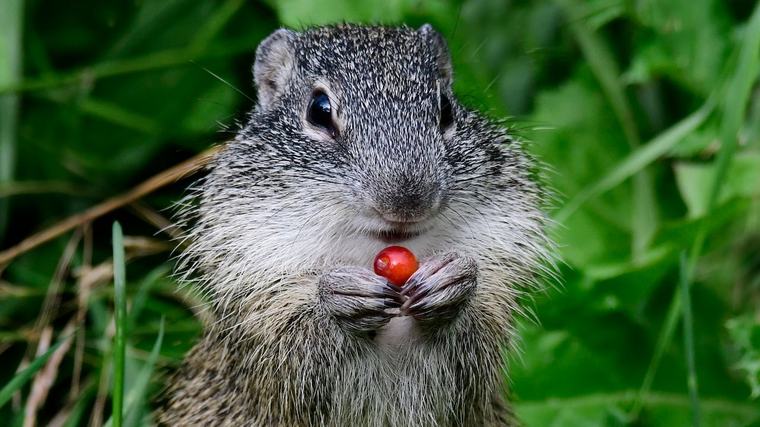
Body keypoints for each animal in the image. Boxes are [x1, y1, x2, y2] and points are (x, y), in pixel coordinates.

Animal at [157, 24, 551, 426]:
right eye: (318, 110)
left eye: (446, 110)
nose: (406, 202)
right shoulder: (260, 319)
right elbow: (289, 358)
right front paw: (338, 296)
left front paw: (454, 281)